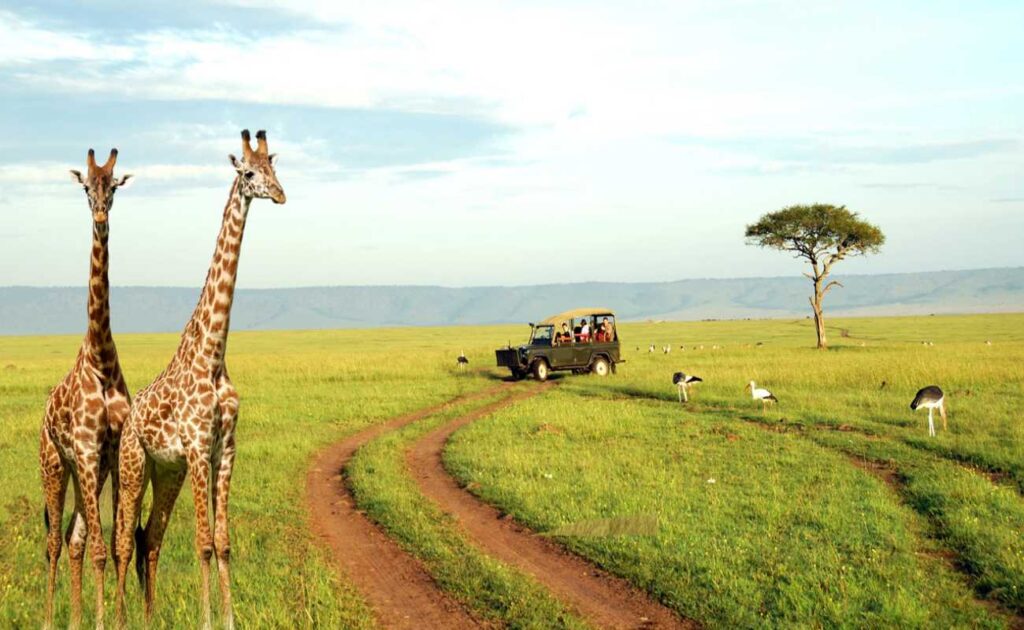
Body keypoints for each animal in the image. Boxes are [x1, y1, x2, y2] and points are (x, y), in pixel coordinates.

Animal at [114, 129, 286, 630]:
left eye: (274, 168)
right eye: (247, 173)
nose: (280, 195)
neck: (213, 354)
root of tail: (128, 417)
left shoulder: (224, 450)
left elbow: (223, 543)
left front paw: (230, 618)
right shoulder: (196, 448)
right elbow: (204, 543)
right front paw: (209, 620)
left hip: (166, 472)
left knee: (149, 536)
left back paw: (149, 616)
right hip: (133, 468)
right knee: (121, 540)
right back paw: (120, 617)